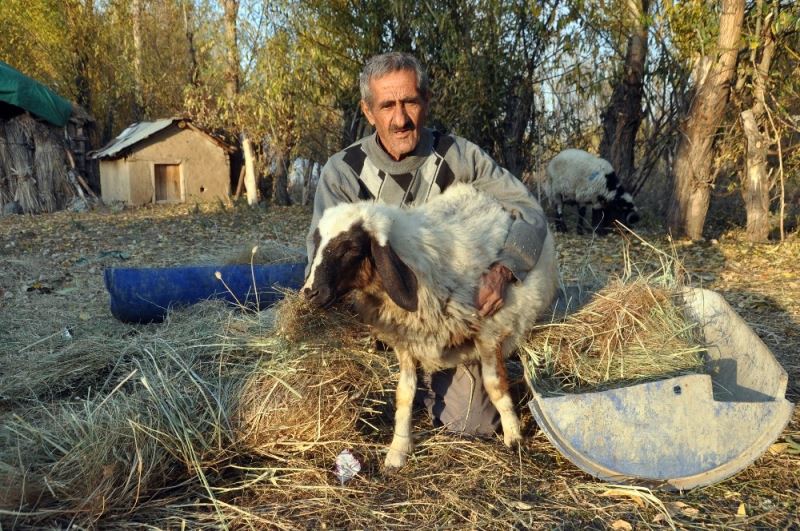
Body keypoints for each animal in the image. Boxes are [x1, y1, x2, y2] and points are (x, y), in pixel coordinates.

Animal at [304, 183, 560, 470]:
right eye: (316, 243)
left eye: (350, 247)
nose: (310, 293)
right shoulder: (406, 340)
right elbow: (404, 394)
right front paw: (398, 450)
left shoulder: (490, 330)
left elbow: (495, 386)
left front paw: (514, 437)